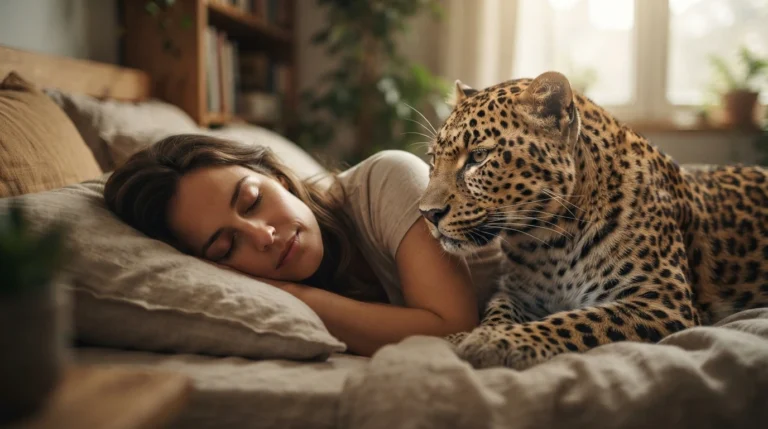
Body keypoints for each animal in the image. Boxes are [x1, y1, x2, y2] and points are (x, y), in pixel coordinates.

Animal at [418, 71, 768, 370]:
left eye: (479, 156)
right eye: (432, 159)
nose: (427, 213)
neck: (547, 242)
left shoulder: (662, 300)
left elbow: (576, 320)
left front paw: (498, 342)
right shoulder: (517, 294)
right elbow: (496, 311)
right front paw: (472, 334)